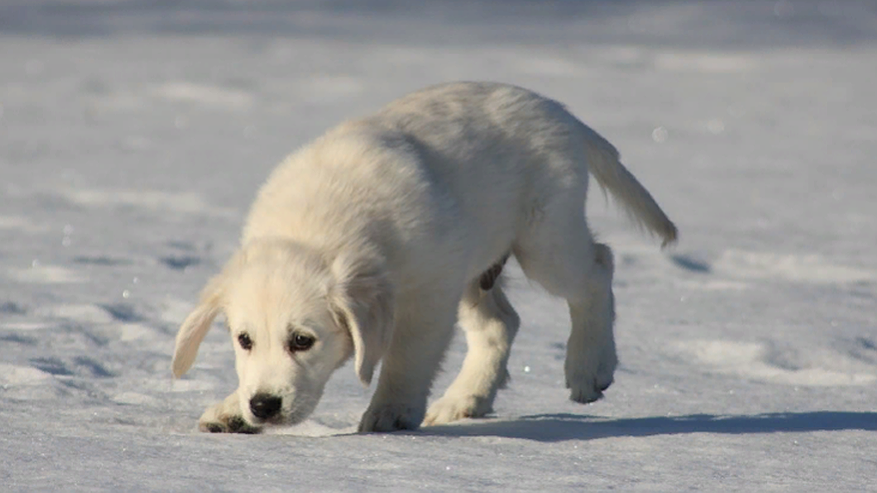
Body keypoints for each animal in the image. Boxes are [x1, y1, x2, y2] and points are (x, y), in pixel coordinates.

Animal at [171, 80, 676, 430]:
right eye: (244, 340)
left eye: (302, 340)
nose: (263, 406)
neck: (318, 229)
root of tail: (557, 110)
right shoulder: (443, 276)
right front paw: (232, 409)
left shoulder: (427, 293)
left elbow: (407, 356)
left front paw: (391, 411)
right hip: (474, 267)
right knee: (501, 323)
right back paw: (464, 399)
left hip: (544, 239)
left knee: (598, 268)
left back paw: (589, 367)